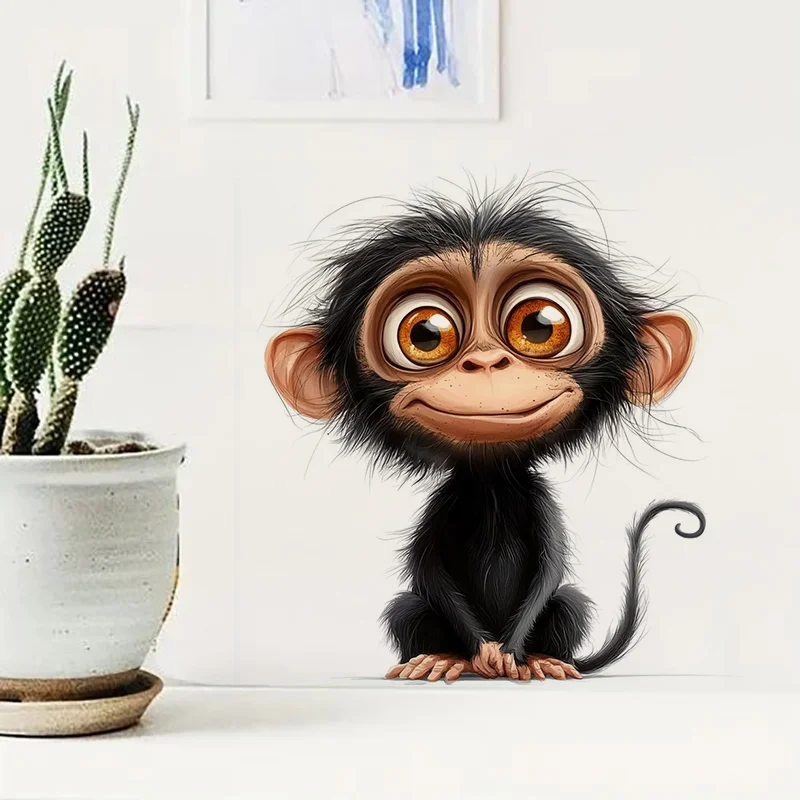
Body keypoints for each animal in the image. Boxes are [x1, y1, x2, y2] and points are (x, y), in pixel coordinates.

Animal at [265, 184, 705, 682]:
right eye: (425, 333)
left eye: (539, 325)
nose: (487, 362)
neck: (490, 481)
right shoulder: (445, 502)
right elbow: (428, 571)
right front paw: (482, 649)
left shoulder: (537, 500)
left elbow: (550, 570)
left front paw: (509, 651)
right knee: (405, 608)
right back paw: (446, 657)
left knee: (568, 601)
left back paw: (539, 658)